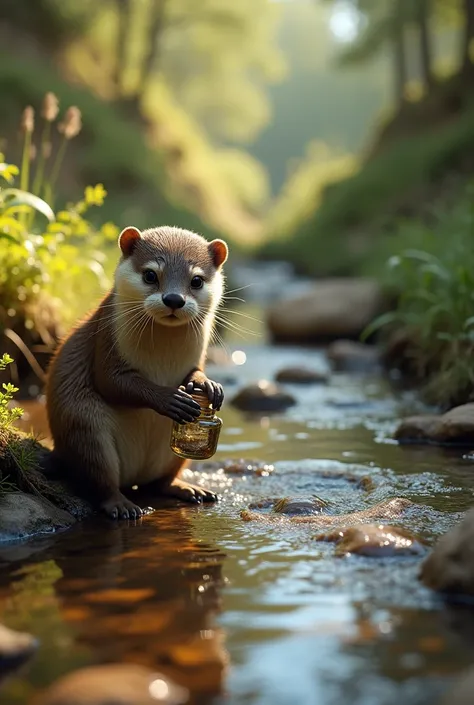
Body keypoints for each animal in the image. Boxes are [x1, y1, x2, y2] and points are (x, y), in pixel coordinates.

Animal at [45, 226, 228, 516]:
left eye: (197, 280)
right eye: (150, 274)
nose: (173, 299)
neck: (163, 355)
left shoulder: (198, 356)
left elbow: (196, 371)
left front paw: (208, 386)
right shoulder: (107, 341)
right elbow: (110, 382)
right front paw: (170, 398)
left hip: (171, 457)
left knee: (159, 482)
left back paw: (189, 489)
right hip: (84, 426)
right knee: (101, 479)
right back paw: (123, 506)